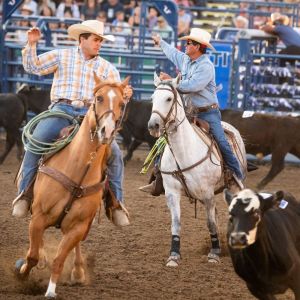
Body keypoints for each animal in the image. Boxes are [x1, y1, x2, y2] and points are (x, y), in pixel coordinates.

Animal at [14, 74, 129, 298]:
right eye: (99, 98)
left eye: (121, 103)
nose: (107, 131)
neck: (78, 168)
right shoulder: (39, 216)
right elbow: (32, 255)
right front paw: (22, 273)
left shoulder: (78, 226)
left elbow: (60, 259)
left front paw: (51, 290)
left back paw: (77, 271)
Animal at [148, 74, 248, 266]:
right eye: (152, 98)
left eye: (169, 98)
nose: (153, 125)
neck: (184, 151)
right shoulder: (172, 192)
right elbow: (176, 223)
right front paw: (174, 255)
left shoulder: (207, 193)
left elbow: (210, 223)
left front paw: (214, 253)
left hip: (232, 186)